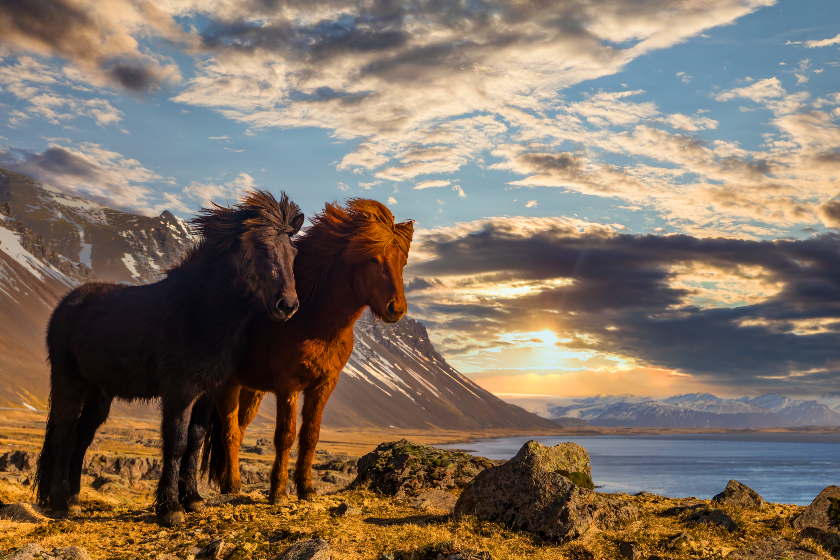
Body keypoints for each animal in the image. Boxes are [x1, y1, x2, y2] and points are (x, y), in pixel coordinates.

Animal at [35, 190, 304, 526]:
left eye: (293, 253)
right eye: (263, 249)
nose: (288, 306)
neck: (202, 312)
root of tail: (65, 305)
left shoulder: (209, 392)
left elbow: (195, 441)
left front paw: (194, 500)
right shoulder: (180, 392)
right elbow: (176, 444)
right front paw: (170, 508)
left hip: (100, 394)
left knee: (82, 438)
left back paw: (73, 502)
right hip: (68, 383)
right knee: (65, 434)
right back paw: (60, 503)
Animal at [201, 198, 413, 503]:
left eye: (403, 262)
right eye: (373, 258)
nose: (396, 308)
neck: (314, 322)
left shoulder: (324, 384)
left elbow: (310, 435)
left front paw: (307, 489)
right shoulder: (288, 384)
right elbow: (286, 436)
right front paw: (278, 492)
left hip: (252, 390)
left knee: (239, 430)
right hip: (228, 384)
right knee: (228, 432)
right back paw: (232, 485)